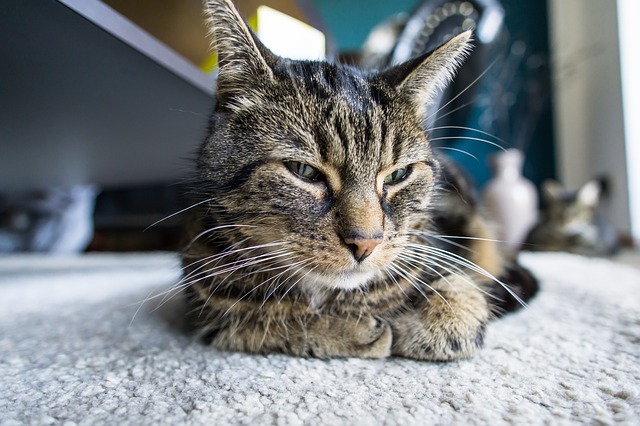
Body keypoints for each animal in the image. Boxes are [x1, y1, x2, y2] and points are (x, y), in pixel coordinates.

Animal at [181, 0, 540, 362]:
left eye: (398, 175)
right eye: (303, 170)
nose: (366, 243)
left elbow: (460, 302)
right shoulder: (203, 306)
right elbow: (257, 324)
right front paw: (347, 330)